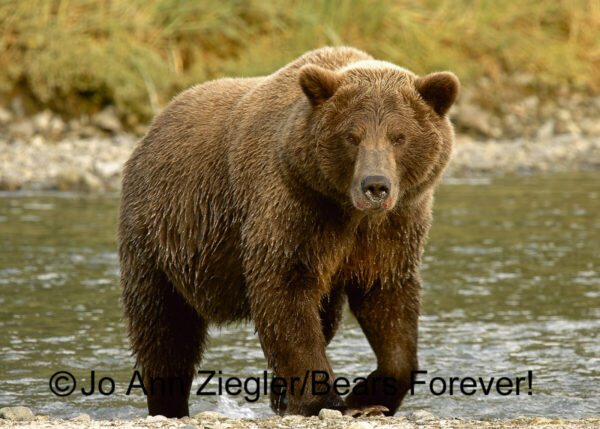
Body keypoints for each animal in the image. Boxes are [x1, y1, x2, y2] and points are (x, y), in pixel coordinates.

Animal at [117, 46, 458, 418]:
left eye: (399, 137)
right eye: (351, 137)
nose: (375, 186)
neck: (349, 212)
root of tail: (154, 126)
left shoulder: (393, 227)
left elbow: (388, 299)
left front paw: (367, 398)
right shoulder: (295, 206)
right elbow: (285, 294)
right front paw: (326, 400)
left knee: (326, 319)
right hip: (160, 235)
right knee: (164, 328)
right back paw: (168, 404)